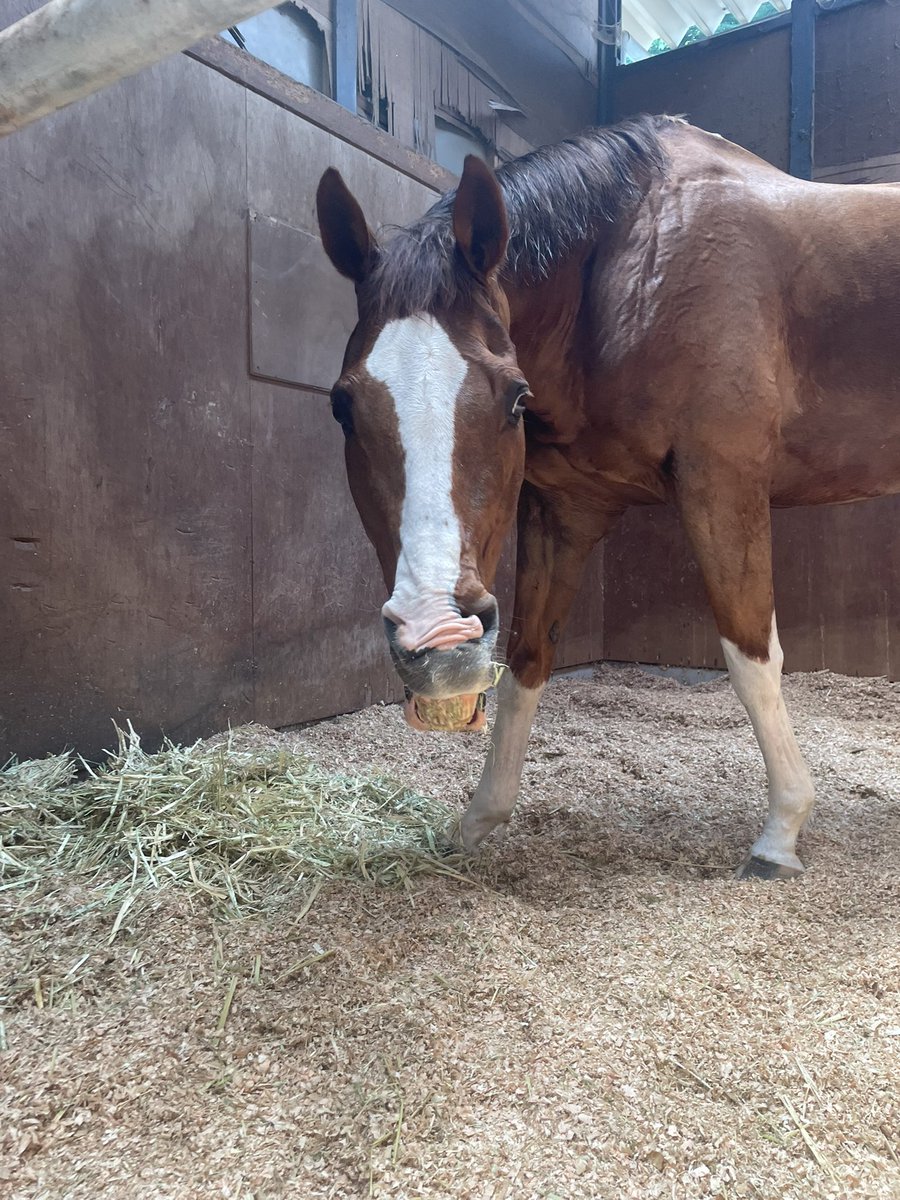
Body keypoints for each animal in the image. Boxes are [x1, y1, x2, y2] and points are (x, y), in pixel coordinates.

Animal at [315, 114, 900, 880]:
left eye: (515, 399)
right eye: (342, 407)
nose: (439, 642)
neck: (637, 266)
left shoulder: (724, 481)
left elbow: (751, 656)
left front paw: (781, 833)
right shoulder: (565, 510)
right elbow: (527, 661)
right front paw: (480, 819)